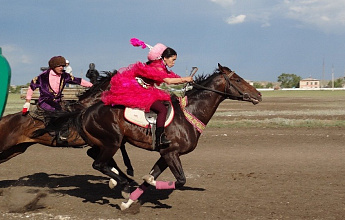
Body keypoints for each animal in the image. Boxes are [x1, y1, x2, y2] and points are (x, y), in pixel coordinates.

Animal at [35, 62, 260, 209]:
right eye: (238, 79)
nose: (258, 94)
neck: (189, 114)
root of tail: (85, 110)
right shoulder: (171, 153)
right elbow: (180, 180)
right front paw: (139, 187)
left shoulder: (165, 155)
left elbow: (150, 177)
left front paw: (129, 201)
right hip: (113, 141)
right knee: (98, 163)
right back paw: (122, 182)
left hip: (105, 142)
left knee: (97, 158)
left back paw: (122, 182)